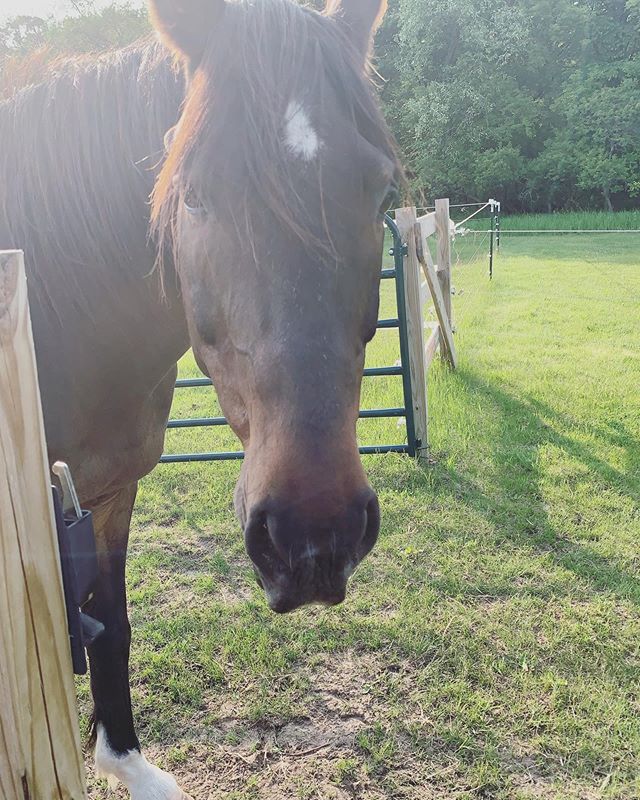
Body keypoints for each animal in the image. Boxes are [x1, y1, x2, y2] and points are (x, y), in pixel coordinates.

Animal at [0, 1, 400, 792]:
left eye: (381, 194)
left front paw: (130, 767)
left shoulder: (104, 492)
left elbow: (110, 625)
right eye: (195, 193)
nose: (313, 535)